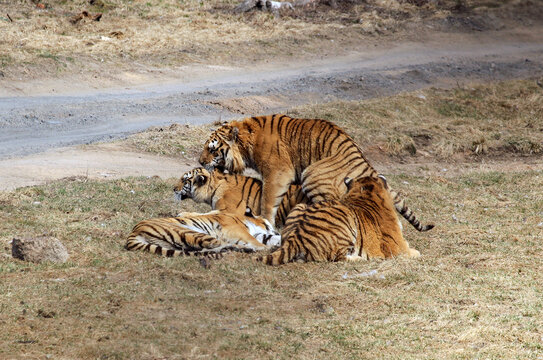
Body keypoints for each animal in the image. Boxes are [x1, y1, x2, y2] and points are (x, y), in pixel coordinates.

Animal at [126, 207, 280, 258]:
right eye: (267, 224)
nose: (276, 230)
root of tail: (134, 231)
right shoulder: (238, 230)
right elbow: (256, 241)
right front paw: (268, 247)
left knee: (208, 248)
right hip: (190, 231)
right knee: (218, 244)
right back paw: (247, 249)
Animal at [199, 114, 434, 231]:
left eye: (212, 149)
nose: (200, 161)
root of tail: (362, 161)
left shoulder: (277, 173)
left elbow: (267, 200)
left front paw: (264, 221)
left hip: (313, 174)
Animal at [258, 176, 420, 266]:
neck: (364, 194)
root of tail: (295, 238)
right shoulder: (398, 248)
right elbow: (415, 252)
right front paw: (417, 253)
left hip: (300, 206)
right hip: (346, 225)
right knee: (339, 257)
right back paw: (361, 259)